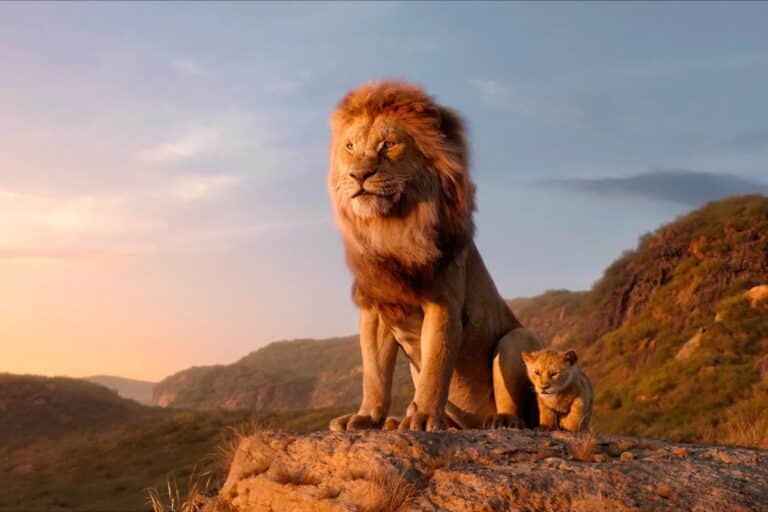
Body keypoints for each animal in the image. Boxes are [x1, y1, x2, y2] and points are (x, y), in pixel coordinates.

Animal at [327, 81, 544, 431]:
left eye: (388, 145)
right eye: (350, 146)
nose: (358, 175)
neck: (391, 228)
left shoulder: (443, 303)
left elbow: (435, 366)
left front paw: (424, 417)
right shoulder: (376, 309)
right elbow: (374, 373)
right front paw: (367, 417)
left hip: (516, 338)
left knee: (521, 409)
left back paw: (501, 420)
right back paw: (394, 422)